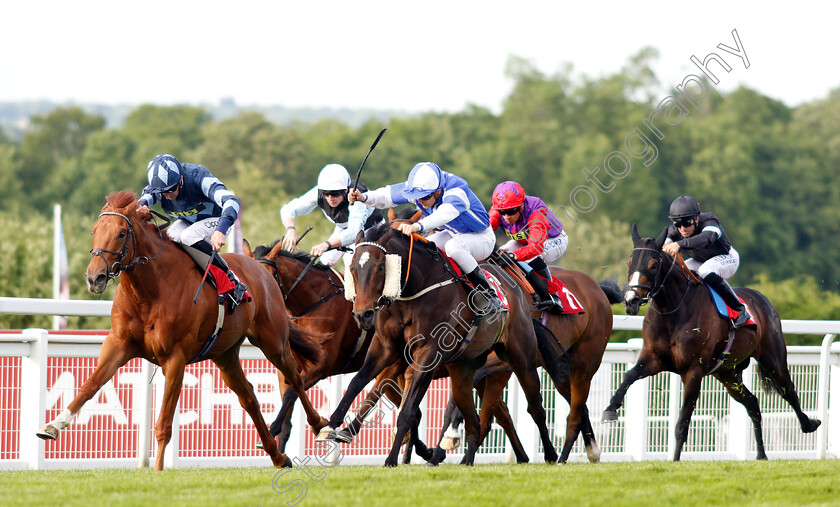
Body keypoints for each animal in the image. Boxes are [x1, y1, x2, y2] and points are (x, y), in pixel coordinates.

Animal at [38, 192, 328, 470]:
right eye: (94, 230)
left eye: (121, 233)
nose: (94, 277)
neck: (150, 291)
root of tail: (260, 268)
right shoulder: (118, 345)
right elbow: (90, 386)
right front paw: (53, 425)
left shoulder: (175, 358)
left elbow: (164, 423)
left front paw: (157, 470)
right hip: (225, 354)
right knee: (248, 396)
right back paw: (278, 456)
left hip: (273, 341)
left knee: (295, 378)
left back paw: (321, 426)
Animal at [604, 224, 820, 462]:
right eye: (629, 262)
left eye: (653, 265)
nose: (630, 300)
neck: (673, 311)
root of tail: (763, 300)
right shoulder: (653, 360)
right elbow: (628, 376)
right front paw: (610, 409)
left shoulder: (693, 371)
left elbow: (683, 422)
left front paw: (675, 460)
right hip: (727, 373)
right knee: (753, 404)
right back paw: (761, 454)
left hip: (772, 357)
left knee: (788, 389)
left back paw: (809, 424)